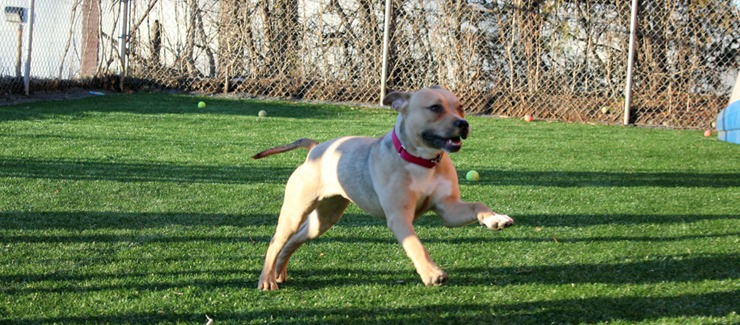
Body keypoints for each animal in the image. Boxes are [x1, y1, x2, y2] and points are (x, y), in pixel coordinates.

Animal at [251, 85, 512, 288]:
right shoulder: (399, 217)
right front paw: (431, 273)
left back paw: (280, 271)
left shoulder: (448, 209)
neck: (422, 162)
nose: (463, 124)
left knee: (294, 240)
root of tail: (315, 149)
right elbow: (416, 245)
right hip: (295, 212)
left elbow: (478, 204)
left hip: (324, 218)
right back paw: (267, 279)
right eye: (435, 108)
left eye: (460, 107)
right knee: (276, 241)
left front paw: (495, 219)